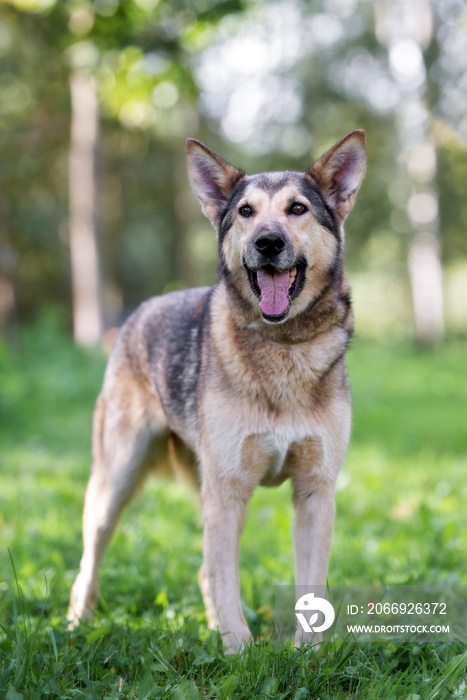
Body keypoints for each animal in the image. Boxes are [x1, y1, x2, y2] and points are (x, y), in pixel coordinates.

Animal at [69, 131, 368, 656]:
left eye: (297, 209)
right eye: (246, 212)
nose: (267, 243)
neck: (282, 347)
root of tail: (139, 309)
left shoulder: (316, 491)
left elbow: (309, 583)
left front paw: (307, 656)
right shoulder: (227, 491)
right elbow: (227, 579)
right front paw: (241, 655)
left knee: (204, 572)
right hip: (115, 484)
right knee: (89, 563)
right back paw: (73, 625)